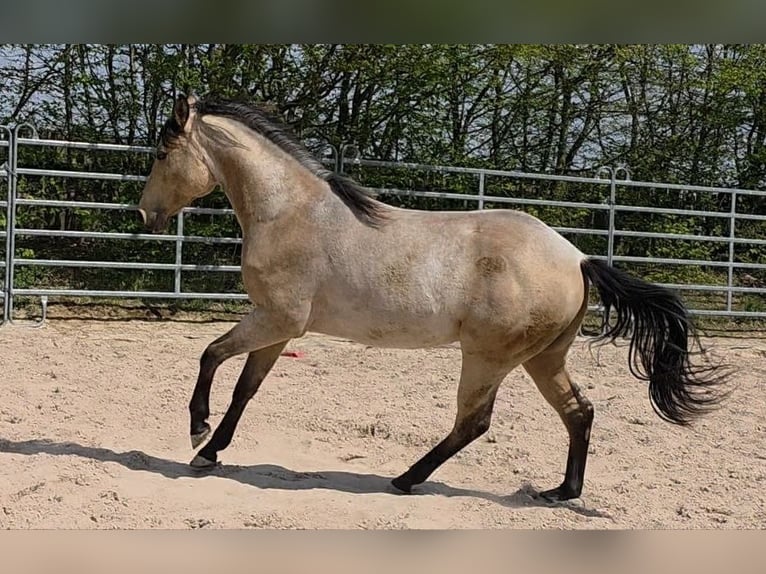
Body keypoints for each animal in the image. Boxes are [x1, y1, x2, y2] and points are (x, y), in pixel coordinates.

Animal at [136, 94, 730, 502]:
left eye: (163, 152)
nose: (145, 214)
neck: (290, 212)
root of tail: (577, 258)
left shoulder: (276, 319)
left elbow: (210, 355)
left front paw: (197, 431)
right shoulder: (280, 329)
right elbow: (245, 389)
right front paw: (210, 452)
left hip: (488, 356)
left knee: (475, 422)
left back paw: (405, 479)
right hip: (543, 357)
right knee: (578, 412)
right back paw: (560, 492)